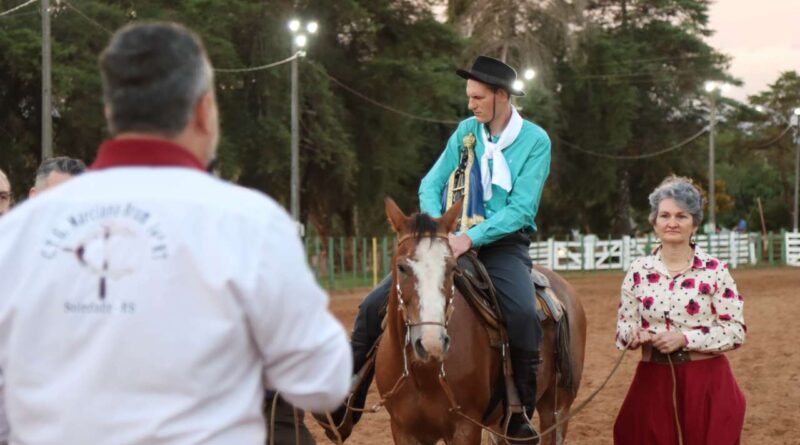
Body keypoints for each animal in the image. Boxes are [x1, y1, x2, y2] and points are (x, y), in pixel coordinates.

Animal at [375, 198, 587, 445]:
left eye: (452, 268)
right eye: (402, 267)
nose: (431, 343)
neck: (422, 374)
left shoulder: (466, 427)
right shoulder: (403, 430)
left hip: (557, 408)